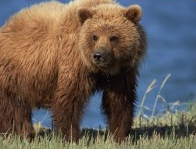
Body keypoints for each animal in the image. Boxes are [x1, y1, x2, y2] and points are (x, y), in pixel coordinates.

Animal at [0, 0, 146, 143]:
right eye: (95, 36)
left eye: (113, 37)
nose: (99, 55)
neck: (99, 70)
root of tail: (5, 26)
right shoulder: (74, 63)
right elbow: (69, 99)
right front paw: (69, 137)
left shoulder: (122, 73)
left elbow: (119, 101)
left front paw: (120, 136)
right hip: (13, 74)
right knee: (12, 108)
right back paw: (17, 134)